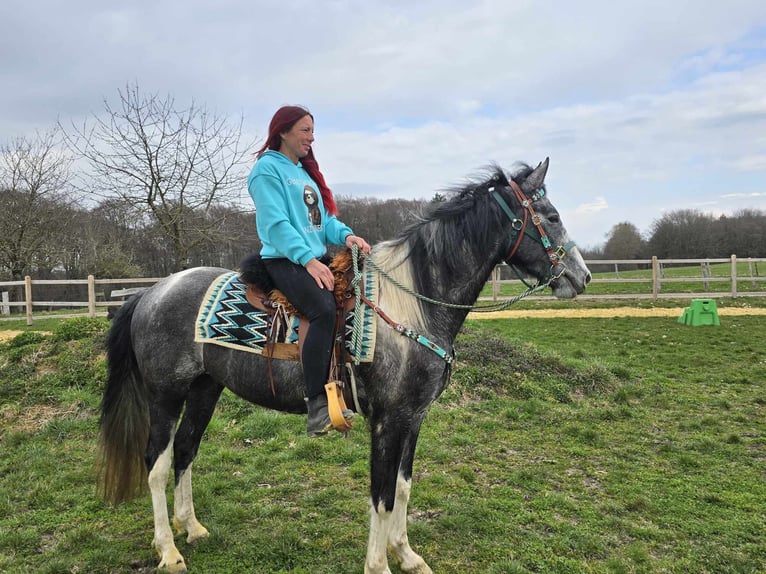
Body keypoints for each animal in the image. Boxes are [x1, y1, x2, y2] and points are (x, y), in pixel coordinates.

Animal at [98, 158, 591, 574]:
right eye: (550, 216)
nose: (582, 276)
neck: (413, 304)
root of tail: (149, 292)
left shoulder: (413, 417)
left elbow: (403, 487)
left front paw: (407, 555)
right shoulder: (388, 420)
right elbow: (382, 494)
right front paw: (379, 565)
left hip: (205, 389)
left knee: (185, 450)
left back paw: (192, 528)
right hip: (165, 396)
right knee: (157, 463)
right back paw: (168, 550)